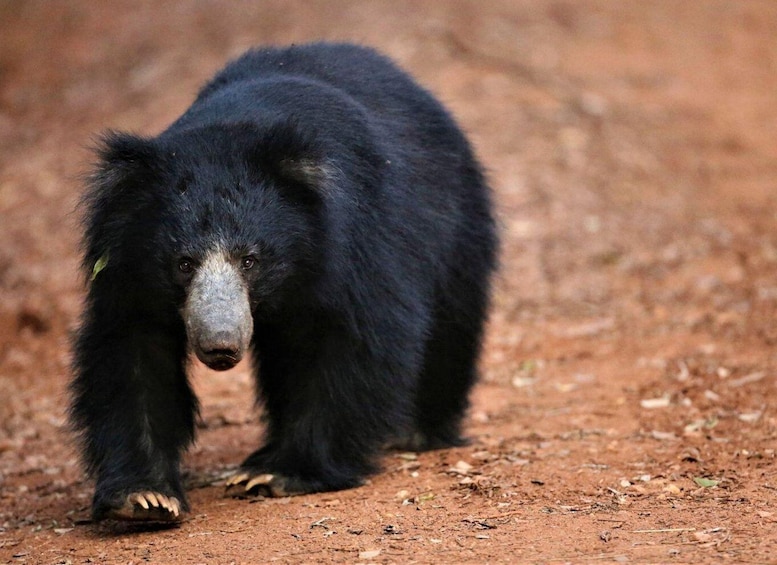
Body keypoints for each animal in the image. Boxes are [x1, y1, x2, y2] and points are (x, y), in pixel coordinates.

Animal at [73, 41, 498, 524]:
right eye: (183, 263)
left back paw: (414, 431)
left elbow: (355, 340)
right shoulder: (126, 268)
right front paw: (145, 497)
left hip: (454, 224)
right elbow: (130, 355)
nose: (220, 345)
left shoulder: (358, 243)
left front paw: (278, 473)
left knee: (449, 326)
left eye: (250, 259)